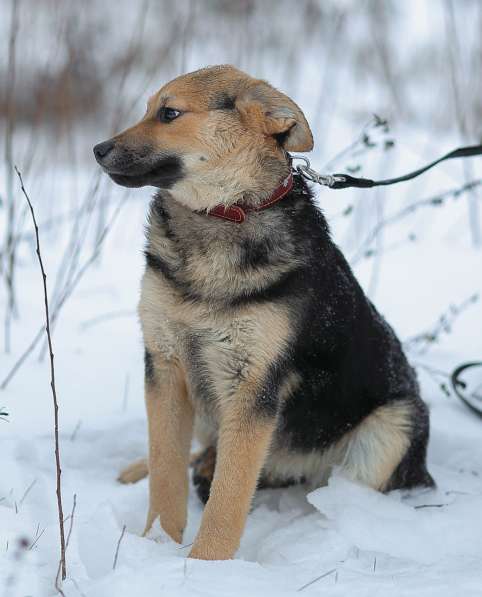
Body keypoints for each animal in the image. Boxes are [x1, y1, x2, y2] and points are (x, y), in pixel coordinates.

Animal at [94, 64, 434, 560]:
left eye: (169, 113)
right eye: (148, 109)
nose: (97, 150)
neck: (224, 214)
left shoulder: (252, 387)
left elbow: (228, 497)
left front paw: (203, 565)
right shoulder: (165, 366)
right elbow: (166, 471)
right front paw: (156, 543)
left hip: (393, 426)